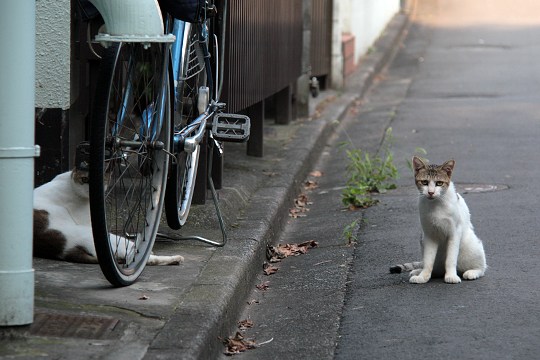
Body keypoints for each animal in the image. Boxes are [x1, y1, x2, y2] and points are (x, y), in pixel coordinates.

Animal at [32, 167, 184, 266]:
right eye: (84, 179)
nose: (91, 190)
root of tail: (62, 251)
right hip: (105, 238)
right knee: (136, 257)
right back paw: (174, 258)